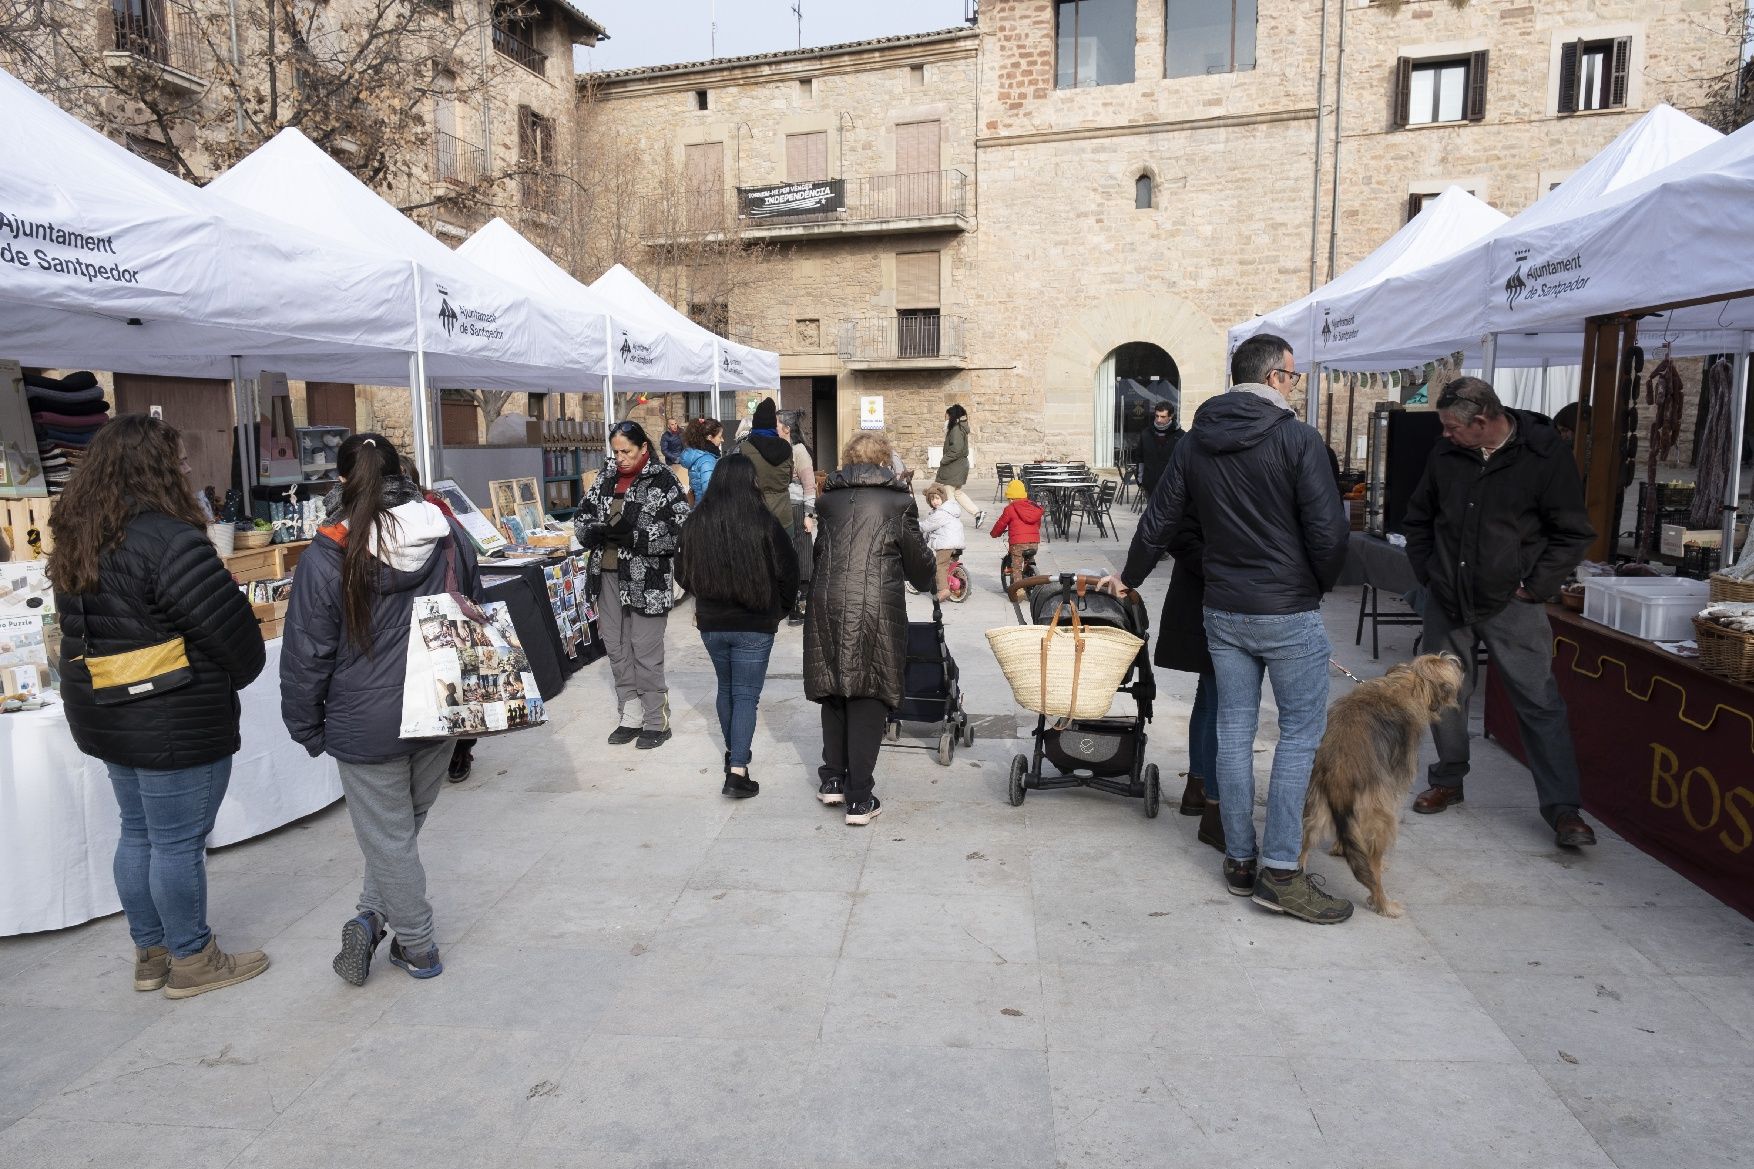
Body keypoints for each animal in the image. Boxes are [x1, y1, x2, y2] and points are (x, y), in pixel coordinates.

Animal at [1304, 649, 1466, 912]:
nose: (1455, 659)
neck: (1408, 683)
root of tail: (1340, 771)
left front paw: (1340, 848)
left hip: (1314, 808)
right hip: (1382, 820)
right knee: (1373, 869)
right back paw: (1384, 903)